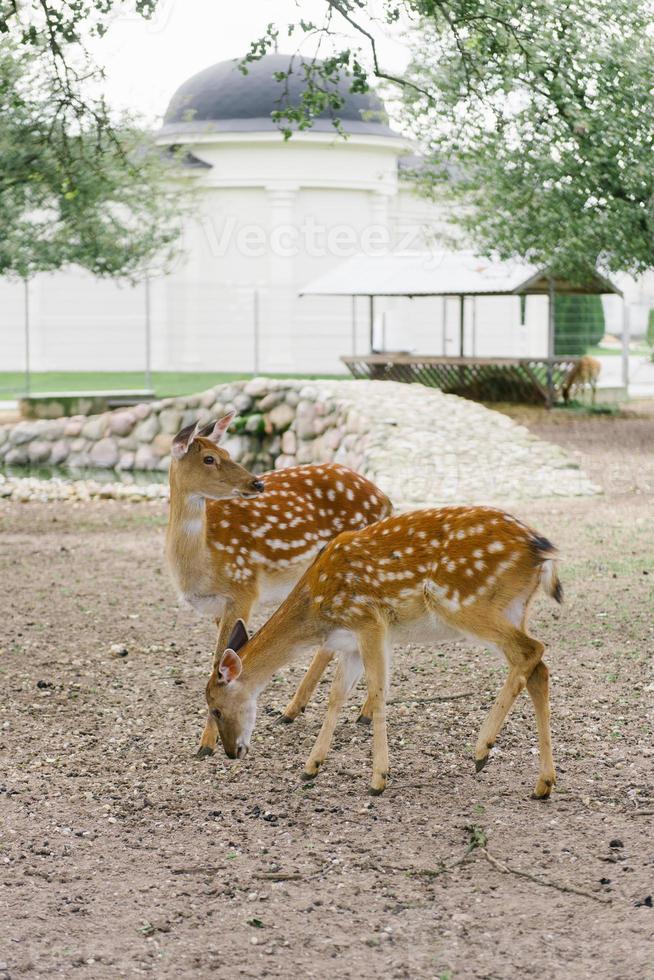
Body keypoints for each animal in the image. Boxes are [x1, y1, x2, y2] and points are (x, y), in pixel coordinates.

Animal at [167, 410, 392, 756]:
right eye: (209, 458)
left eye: (228, 452)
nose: (256, 482)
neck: (200, 564)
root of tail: (386, 500)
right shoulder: (219, 606)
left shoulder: (244, 588)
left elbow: (219, 661)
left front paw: (206, 744)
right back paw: (292, 711)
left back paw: (361, 713)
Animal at [206, 510, 564, 800]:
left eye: (216, 710)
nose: (231, 752)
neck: (317, 608)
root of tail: (540, 549)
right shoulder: (349, 642)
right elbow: (336, 696)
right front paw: (311, 767)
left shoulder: (370, 621)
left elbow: (377, 691)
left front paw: (378, 779)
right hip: (516, 606)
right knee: (538, 669)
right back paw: (542, 784)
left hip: (463, 601)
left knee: (532, 650)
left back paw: (481, 750)